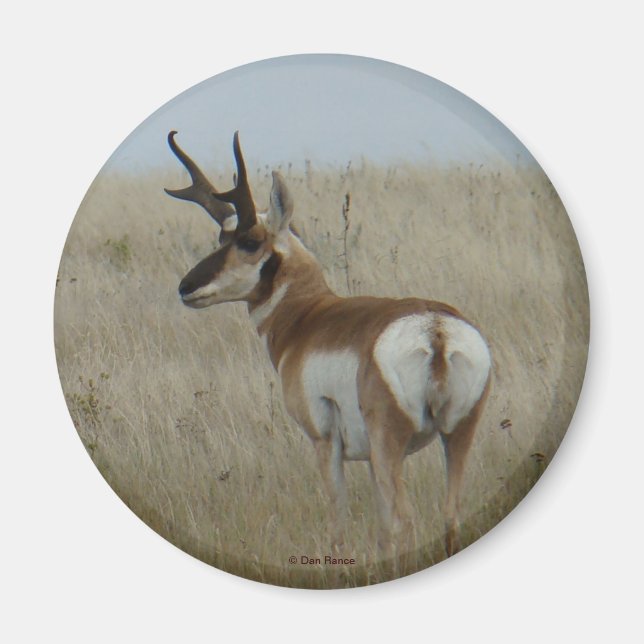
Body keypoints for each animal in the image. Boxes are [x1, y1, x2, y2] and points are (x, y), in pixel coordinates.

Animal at [165, 131, 491, 558]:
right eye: (222, 236)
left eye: (250, 241)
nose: (187, 287)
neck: (310, 316)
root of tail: (434, 329)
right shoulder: (369, 458)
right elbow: (381, 530)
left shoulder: (325, 442)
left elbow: (338, 523)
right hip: (456, 437)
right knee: (448, 517)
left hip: (391, 444)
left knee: (405, 521)